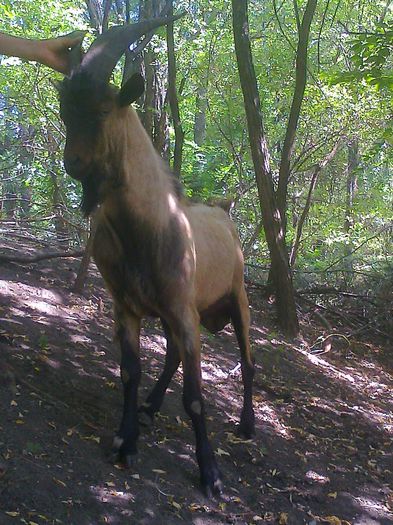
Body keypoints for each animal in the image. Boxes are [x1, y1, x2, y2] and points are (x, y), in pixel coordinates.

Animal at [56, 15, 256, 492]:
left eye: (102, 110)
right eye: (65, 111)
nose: (74, 164)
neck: (147, 228)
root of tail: (223, 213)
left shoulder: (185, 311)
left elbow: (196, 397)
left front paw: (210, 473)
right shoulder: (127, 305)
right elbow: (130, 371)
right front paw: (125, 441)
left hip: (237, 297)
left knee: (247, 361)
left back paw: (247, 424)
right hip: (167, 312)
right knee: (170, 357)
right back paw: (149, 407)